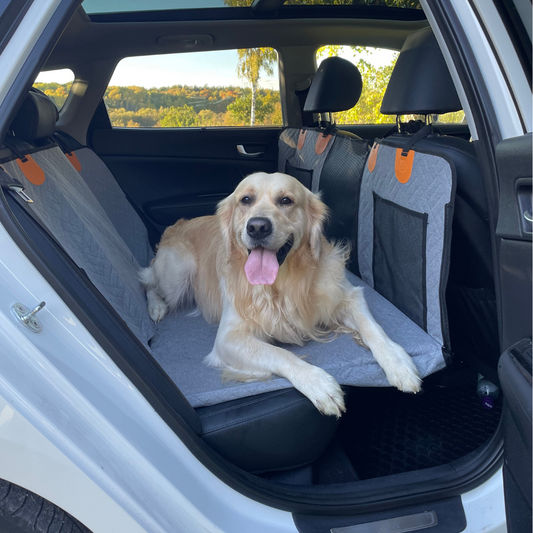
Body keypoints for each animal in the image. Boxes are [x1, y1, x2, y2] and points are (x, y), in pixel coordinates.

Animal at [140, 171, 420, 416]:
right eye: (246, 199)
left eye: (286, 200)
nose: (257, 227)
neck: (282, 282)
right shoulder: (228, 338)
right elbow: (280, 354)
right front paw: (318, 383)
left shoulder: (348, 295)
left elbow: (373, 328)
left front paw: (398, 362)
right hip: (179, 272)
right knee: (148, 281)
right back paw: (156, 308)